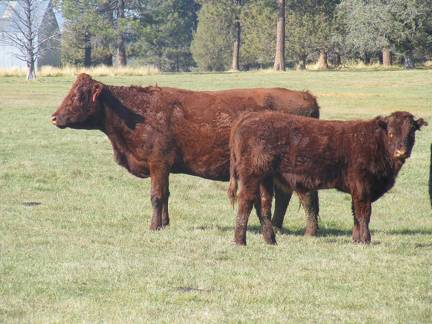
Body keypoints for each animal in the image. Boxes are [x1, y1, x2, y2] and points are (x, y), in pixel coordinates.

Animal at [228, 110, 426, 244]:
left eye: (411, 132)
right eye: (391, 133)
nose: (401, 151)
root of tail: (249, 117)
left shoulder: (357, 189)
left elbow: (355, 213)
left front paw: (356, 239)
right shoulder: (362, 186)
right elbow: (364, 212)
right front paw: (366, 239)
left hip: (265, 179)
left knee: (263, 205)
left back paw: (270, 240)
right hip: (252, 176)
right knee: (245, 202)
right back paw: (240, 241)